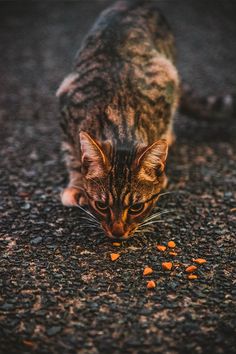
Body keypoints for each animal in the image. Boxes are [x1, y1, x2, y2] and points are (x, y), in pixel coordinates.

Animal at [56, 0, 235, 241]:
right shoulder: (67, 101)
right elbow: (72, 156)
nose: (117, 233)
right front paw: (77, 184)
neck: (120, 117)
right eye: (102, 206)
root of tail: (135, 3)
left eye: (136, 208)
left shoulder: (166, 82)